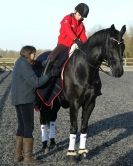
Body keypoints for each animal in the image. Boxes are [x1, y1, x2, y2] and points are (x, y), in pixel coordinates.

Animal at [33, 24, 125, 161]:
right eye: (112, 46)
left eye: (122, 46)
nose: (119, 71)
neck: (84, 68)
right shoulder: (74, 103)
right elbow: (74, 127)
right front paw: (71, 153)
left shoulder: (90, 103)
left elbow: (84, 127)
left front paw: (82, 151)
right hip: (45, 102)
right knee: (43, 121)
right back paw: (45, 146)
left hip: (55, 103)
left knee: (52, 119)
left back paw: (53, 143)